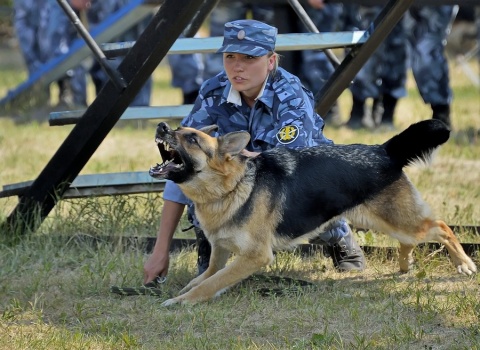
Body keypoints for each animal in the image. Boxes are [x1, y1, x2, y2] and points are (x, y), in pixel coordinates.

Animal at [149, 119, 476, 304]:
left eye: (192, 139)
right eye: (177, 129)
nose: (162, 127)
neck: (233, 186)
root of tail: (383, 150)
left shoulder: (255, 256)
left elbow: (211, 283)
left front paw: (180, 302)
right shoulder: (219, 252)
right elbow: (205, 277)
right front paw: (180, 291)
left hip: (396, 220)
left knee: (441, 227)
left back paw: (464, 264)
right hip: (383, 219)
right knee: (411, 239)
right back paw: (406, 265)